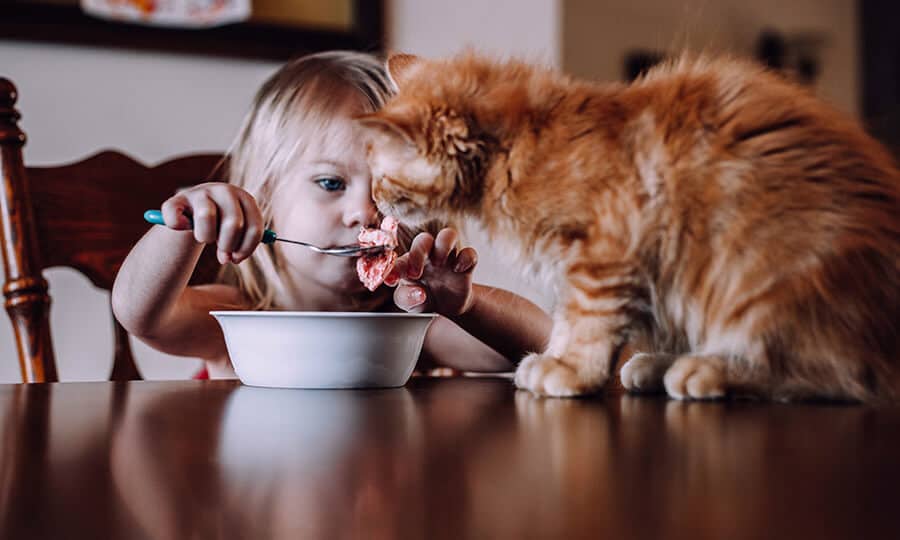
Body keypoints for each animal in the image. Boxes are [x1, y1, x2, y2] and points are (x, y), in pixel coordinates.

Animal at [358, 53, 900, 400]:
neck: (517, 148)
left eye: (380, 177)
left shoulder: (604, 254)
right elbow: (570, 320)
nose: (376, 202)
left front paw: (568, 369)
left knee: (835, 376)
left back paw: (707, 372)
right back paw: (661, 365)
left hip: (763, 280)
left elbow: (585, 322)